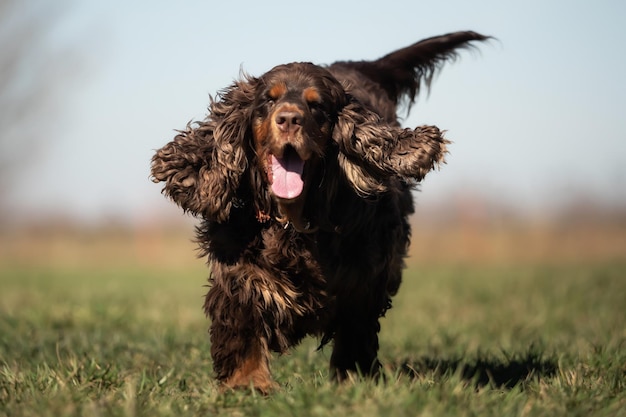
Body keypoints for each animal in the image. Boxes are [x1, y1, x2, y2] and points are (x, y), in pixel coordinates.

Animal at [151, 30, 488, 392]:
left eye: (317, 105)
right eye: (268, 101)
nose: (288, 118)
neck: (293, 219)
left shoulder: (364, 277)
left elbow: (355, 333)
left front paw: (353, 380)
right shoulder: (237, 268)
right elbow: (244, 326)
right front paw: (249, 385)